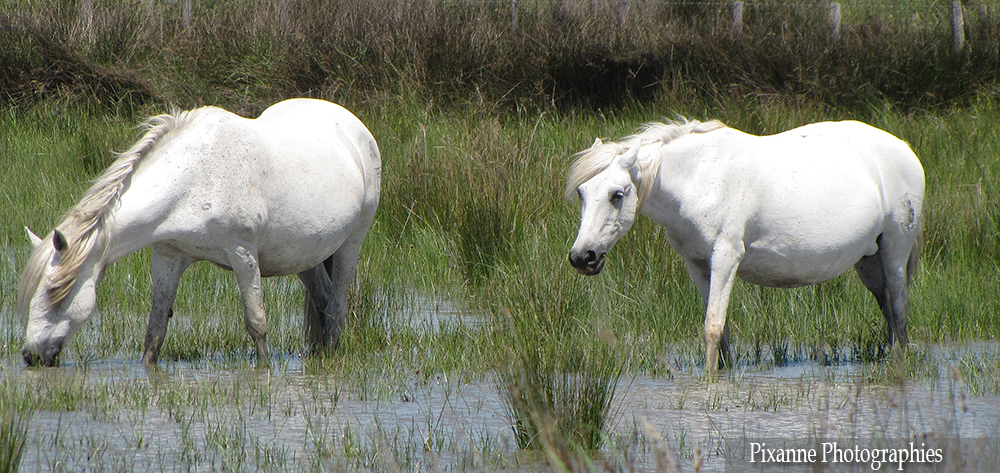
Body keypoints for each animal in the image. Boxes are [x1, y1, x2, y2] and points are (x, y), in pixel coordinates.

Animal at [18, 98, 381, 367]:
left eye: (53, 290)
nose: (30, 355)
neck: (193, 180)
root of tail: (353, 125)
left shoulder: (242, 253)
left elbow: (257, 323)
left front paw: (264, 373)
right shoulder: (168, 256)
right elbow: (155, 331)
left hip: (351, 243)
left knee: (336, 307)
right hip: (304, 256)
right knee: (323, 302)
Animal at [566, 119, 924, 377]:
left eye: (617, 194)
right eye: (582, 193)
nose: (583, 257)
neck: (700, 179)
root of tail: (905, 149)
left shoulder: (726, 258)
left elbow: (712, 327)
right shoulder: (698, 266)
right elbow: (720, 331)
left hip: (895, 250)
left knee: (899, 307)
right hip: (869, 261)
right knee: (888, 309)